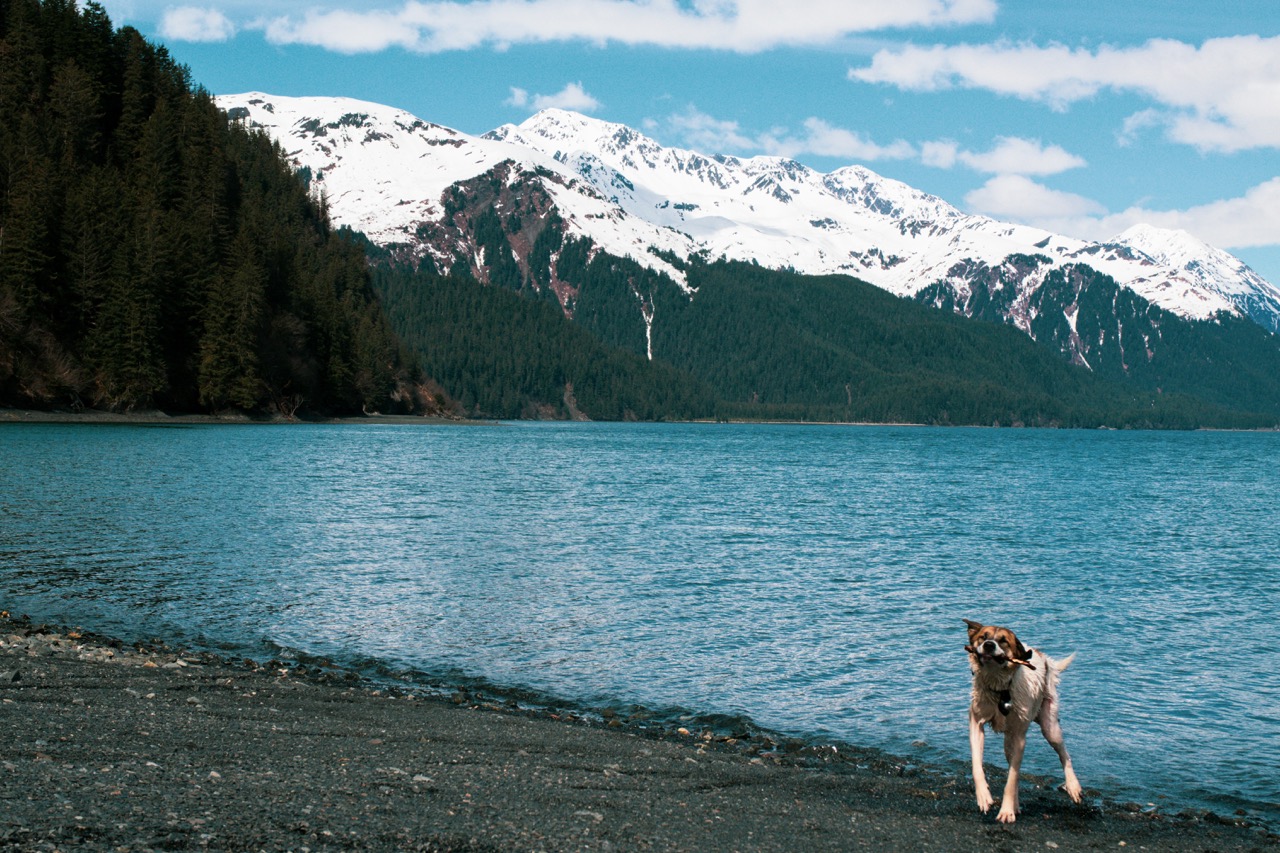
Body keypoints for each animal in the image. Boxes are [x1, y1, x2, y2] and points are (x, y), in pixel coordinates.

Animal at [962, 614, 1085, 819]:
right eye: (983, 637)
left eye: (1003, 641)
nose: (989, 645)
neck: (1001, 689)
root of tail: (1045, 658)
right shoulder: (976, 721)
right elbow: (977, 764)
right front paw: (984, 797)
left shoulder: (1020, 736)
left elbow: (1012, 778)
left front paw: (1006, 811)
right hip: (1009, 741)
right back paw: (1016, 804)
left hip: (1049, 725)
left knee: (1064, 754)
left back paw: (1073, 786)